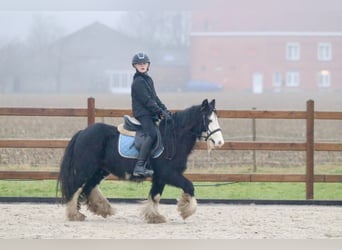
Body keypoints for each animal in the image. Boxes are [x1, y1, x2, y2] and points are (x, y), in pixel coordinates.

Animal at [57, 98, 223, 224]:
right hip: (85, 169)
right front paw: (186, 210)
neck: (172, 139)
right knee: (76, 188)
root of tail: (82, 132)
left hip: (99, 171)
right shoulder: (169, 174)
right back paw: (75, 214)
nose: (220, 142)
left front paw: (154, 217)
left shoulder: (160, 177)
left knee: (88, 188)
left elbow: (155, 196)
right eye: (209, 120)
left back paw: (102, 209)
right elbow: (189, 186)